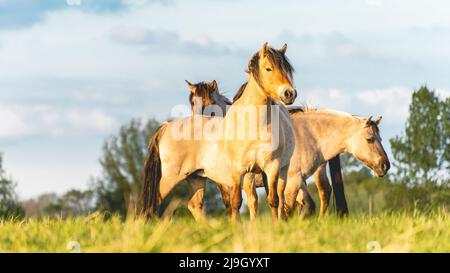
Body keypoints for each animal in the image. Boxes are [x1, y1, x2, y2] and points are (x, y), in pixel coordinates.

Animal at [140, 43, 296, 221]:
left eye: (286, 69)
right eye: (268, 68)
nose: (289, 93)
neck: (255, 124)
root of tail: (166, 126)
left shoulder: (271, 168)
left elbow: (272, 201)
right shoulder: (238, 172)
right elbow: (236, 202)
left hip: (196, 177)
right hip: (171, 177)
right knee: (155, 205)